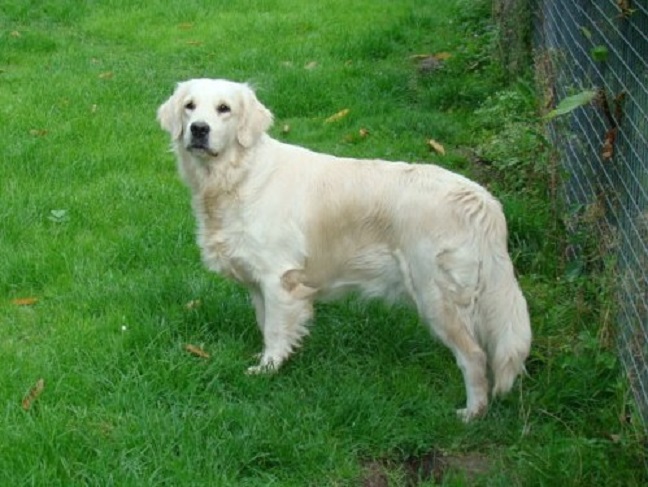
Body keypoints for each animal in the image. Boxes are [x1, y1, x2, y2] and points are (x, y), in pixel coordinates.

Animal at [158, 78, 532, 422]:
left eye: (224, 109)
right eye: (190, 106)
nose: (199, 129)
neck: (238, 176)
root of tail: (482, 200)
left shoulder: (280, 280)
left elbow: (276, 330)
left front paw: (267, 370)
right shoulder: (259, 284)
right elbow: (266, 325)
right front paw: (269, 361)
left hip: (436, 296)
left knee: (474, 356)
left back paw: (472, 413)